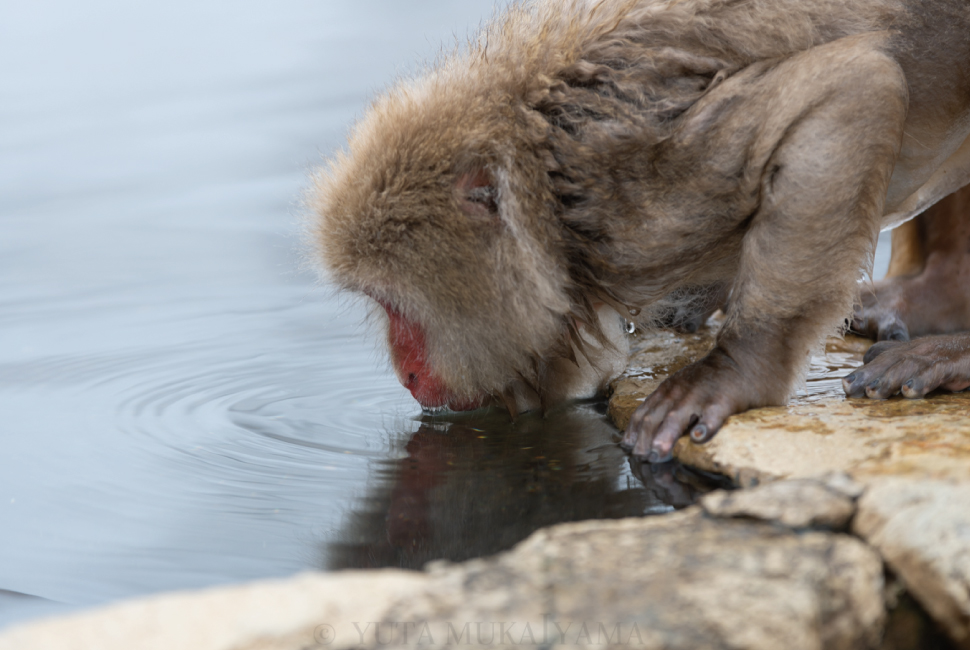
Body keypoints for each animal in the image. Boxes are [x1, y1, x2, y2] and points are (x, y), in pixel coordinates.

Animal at [308, 1, 968, 466]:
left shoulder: (639, 184)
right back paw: (939, 291)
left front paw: (737, 371)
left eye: (391, 305)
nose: (407, 374)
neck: (547, 184)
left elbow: (853, 89)